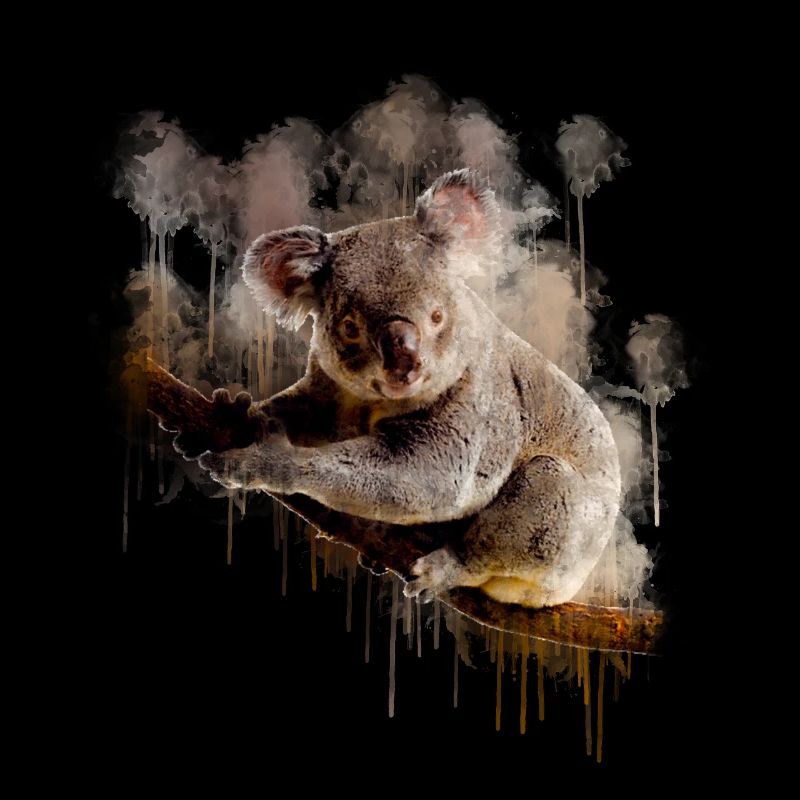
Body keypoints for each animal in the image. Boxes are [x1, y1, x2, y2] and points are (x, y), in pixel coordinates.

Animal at [197, 169, 621, 608]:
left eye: (436, 316)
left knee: (519, 518)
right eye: (350, 327)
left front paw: (265, 462)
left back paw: (444, 567)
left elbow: (429, 478)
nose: (405, 364)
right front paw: (238, 412)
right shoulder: (331, 391)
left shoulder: (474, 403)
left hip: (557, 522)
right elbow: (299, 412)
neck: (374, 402)